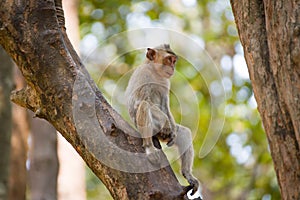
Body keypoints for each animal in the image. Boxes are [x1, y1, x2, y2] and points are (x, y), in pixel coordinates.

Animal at [125, 44, 200, 195]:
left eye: (174, 61)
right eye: (169, 59)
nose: (172, 67)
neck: (155, 72)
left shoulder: (166, 83)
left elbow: (165, 106)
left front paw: (173, 130)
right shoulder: (144, 75)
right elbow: (140, 101)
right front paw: (165, 122)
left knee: (184, 133)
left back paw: (187, 174)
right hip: (153, 128)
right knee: (144, 105)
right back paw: (150, 148)